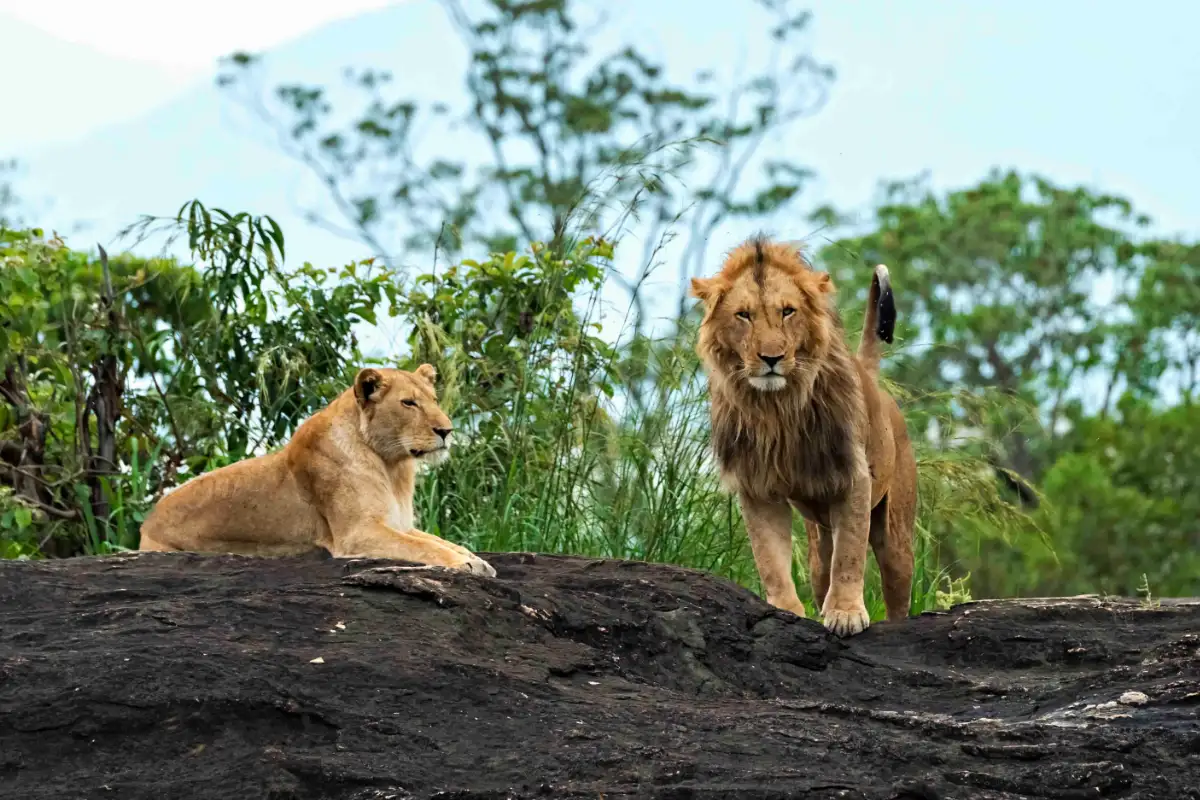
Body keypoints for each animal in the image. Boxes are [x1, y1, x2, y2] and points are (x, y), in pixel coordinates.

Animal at [138, 365, 496, 576]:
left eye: (434, 399)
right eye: (409, 403)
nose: (447, 431)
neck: (391, 465)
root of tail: (146, 524)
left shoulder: (398, 523)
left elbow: (438, 541)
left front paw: (477, 560)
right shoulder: (356, 533)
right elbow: (424, 547)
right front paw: (465, 563)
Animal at [690, 236, 916, 637]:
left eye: (788, 312)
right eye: (743, 315)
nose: (772, 358)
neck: (777, 408)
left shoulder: (853, 477)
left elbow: (850, 553)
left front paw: (845, 613)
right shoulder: (757, 485)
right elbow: (770, 558)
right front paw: (786, 611)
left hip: (895, 535)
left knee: (896, 590)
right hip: (817, 541)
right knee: (822, 566)